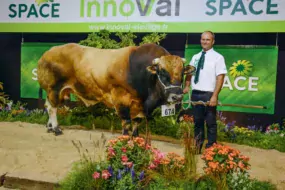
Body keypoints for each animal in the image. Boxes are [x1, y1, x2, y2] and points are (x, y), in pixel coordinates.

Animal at [36, 43, 194, 136]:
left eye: (182, 73)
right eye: (162, 72)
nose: (177, 97)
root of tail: (48, 52)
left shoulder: (138, 106)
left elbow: (136, 124)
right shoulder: (121, 100)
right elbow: (126, 124)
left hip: (57, 91)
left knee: (48, 105)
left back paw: (49, 127)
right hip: (54, 89)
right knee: (52, 108)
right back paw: (56, 128)